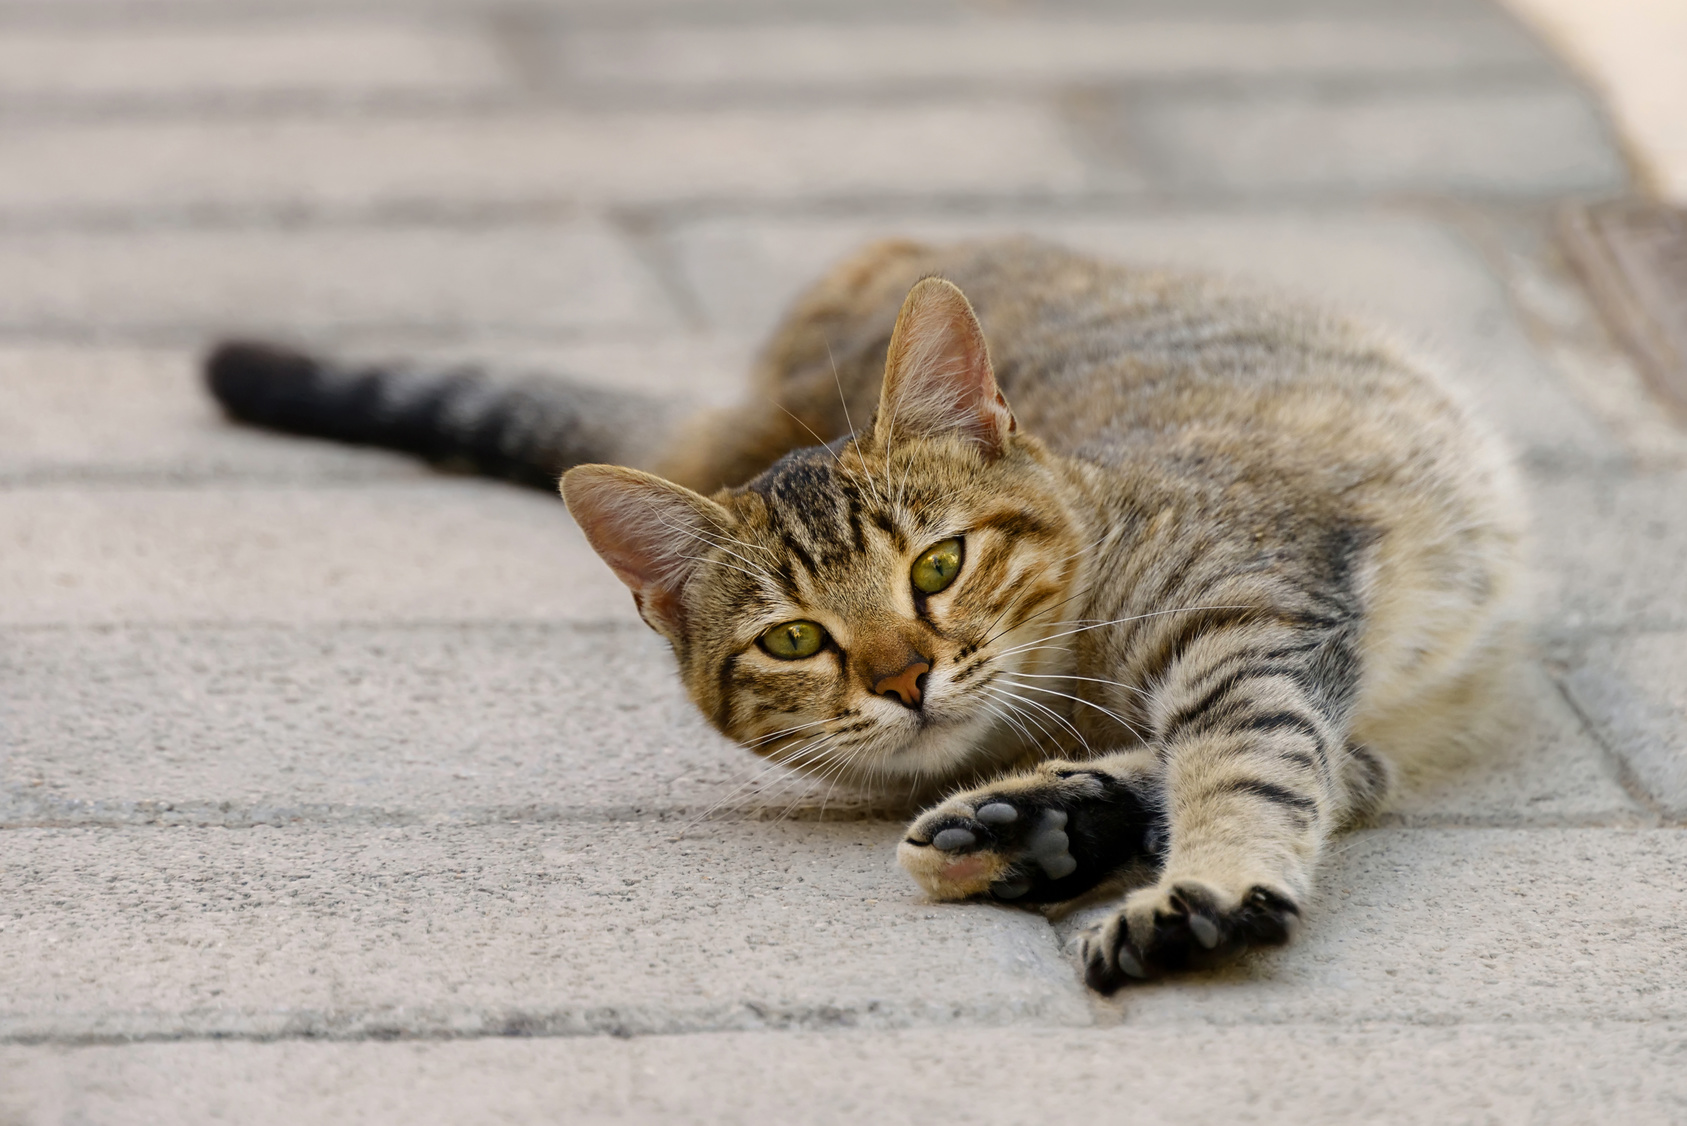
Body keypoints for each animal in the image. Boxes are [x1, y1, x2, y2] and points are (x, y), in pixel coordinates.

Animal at [210, 236, 1531, 985]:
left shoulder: (1254, 613)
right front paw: (1056, 816)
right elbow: (1295, 758)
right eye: (795, 637)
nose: (903, 678)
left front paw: (1194, 875)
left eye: (937, 566)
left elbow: (1245, 757)